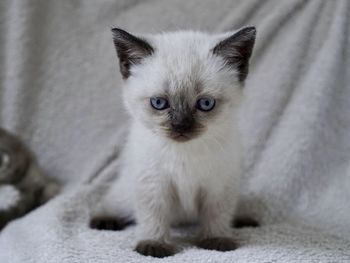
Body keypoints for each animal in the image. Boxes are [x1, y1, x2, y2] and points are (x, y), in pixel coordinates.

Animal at [92, 26, 258, 258]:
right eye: (158, 103)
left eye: (206, 104)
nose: (181, 126)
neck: (185, 152)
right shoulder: (153, 184)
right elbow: (154, 216)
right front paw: (154, 245)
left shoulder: (219, 185)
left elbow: (217, 214)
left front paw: (216, 240)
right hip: (125, 191)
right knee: (112, 202)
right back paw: (104, 220)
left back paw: (243, 219)